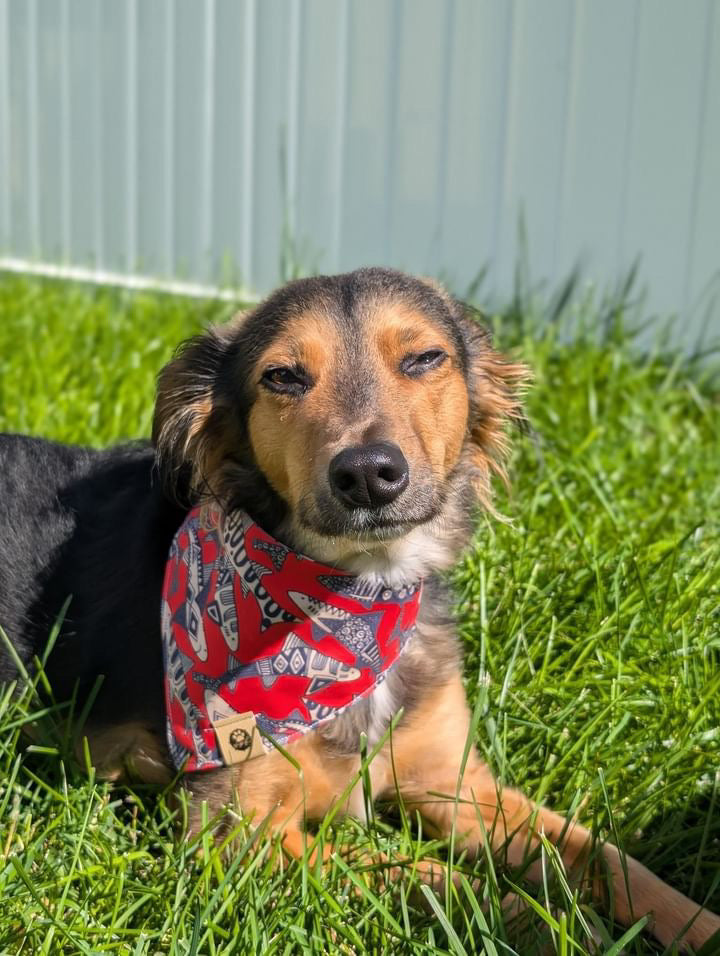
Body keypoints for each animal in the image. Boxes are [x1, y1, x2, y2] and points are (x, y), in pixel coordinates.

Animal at [0, 268, 716, 948]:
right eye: (283, 376)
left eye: (424, 359)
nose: (369, 473)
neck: (354, 606)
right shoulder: (239, 833)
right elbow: (425, 874)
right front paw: (553, 923)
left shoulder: (454, 780)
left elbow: (605, 855)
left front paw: (694, 925)